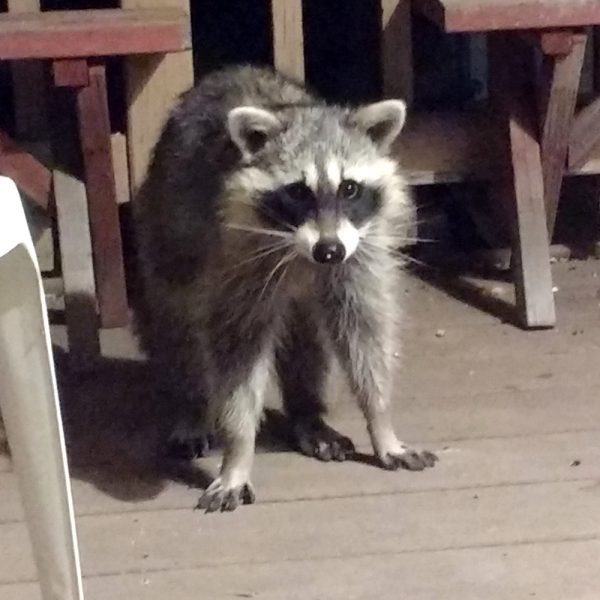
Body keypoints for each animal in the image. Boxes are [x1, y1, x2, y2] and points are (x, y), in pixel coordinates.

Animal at [135, 67, 436, 516]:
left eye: (350, 188)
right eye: (297, 191)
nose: (328, 251)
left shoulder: (360, 253)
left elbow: (364, 334)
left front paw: (381, 420)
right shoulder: (235, 259)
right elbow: (236, 356)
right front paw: (238, 451)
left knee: (308, 339)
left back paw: (306, 414)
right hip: (170, 232)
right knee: (179, 326)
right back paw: (189, 406)